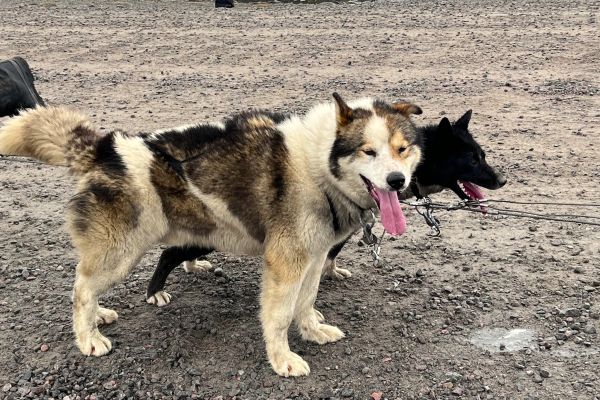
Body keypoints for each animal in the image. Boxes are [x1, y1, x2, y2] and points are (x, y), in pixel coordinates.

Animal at [145, 109, 506, 304]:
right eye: (473, 159)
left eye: (483, 154)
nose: (502, 180)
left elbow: (333, 253)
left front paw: (330, 271)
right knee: (168, 254)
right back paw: (155, 291)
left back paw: (192, 267)